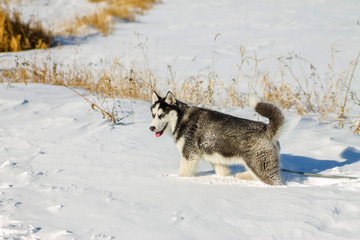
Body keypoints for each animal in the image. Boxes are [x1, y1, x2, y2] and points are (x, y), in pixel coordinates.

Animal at [149, 91, 284, 185]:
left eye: (162, 115)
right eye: (153, 115)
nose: (151, 127)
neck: (181, 120)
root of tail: (267, 129)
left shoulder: (189, 156)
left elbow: (183, 174)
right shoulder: (215, 158)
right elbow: (222, 172)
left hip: (260, 165)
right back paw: (242, 176)